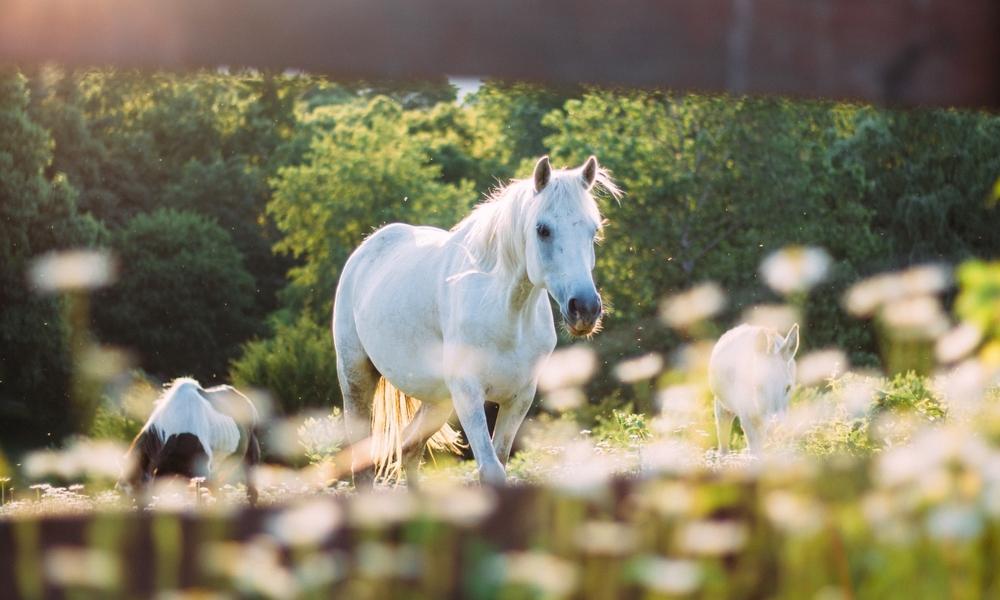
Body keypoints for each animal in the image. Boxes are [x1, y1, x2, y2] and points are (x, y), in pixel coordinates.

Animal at [336, 156, 616, 488]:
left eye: (593, 231)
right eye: (542, 229)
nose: (584, 308)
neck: (505, 315)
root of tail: (366, 249)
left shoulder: (519, 397)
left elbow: (501, 460)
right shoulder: (469, 394)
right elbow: (491, 469)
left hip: (439, 401)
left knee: (410, 448)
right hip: (356, 379)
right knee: (364, 459)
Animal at [708, 324, 800, 454]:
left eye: (788, 387)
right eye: (757, 386)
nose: (776, 429)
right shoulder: (747, 420)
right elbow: (756, 454)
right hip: (723, 407)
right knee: (723, 444)